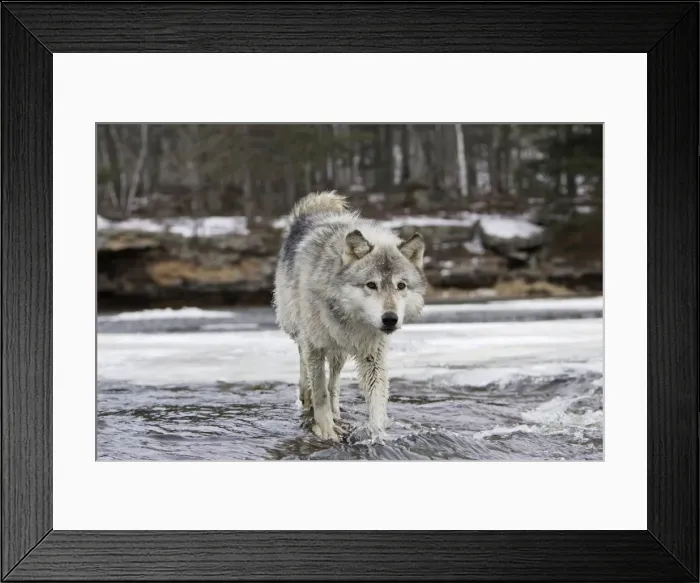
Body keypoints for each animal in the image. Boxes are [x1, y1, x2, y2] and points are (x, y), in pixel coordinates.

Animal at [273, 191, 427, 441]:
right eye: (371, 285)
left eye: (401, 286)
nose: (390, 319)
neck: (350, 318)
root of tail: (312, 212)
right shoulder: (314, 345)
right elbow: (319, 391)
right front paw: (326, 429)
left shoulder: (373, 355)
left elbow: (376, 399)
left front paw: (377, 434)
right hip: (299, 330)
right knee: (305, 366)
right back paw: (307, 397)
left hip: (339, 353)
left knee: (334, 382)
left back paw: (336, 410)